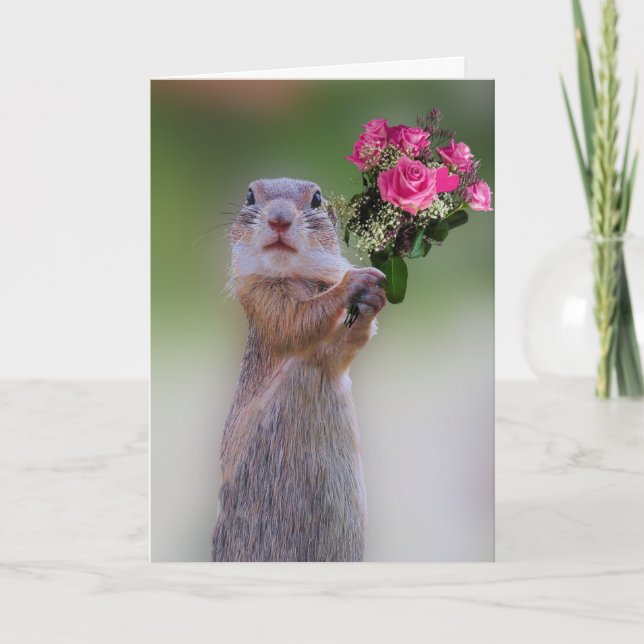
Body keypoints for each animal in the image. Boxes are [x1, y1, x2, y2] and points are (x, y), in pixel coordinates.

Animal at [211, 178, 386, 562]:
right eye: (250, 195)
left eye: (317, 199)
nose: (279, 219)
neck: (294, 278)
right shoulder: (262, 300)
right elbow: (296, 321)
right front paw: (352, 282)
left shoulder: (330, 355)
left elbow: (344, 344)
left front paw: (372, 299)